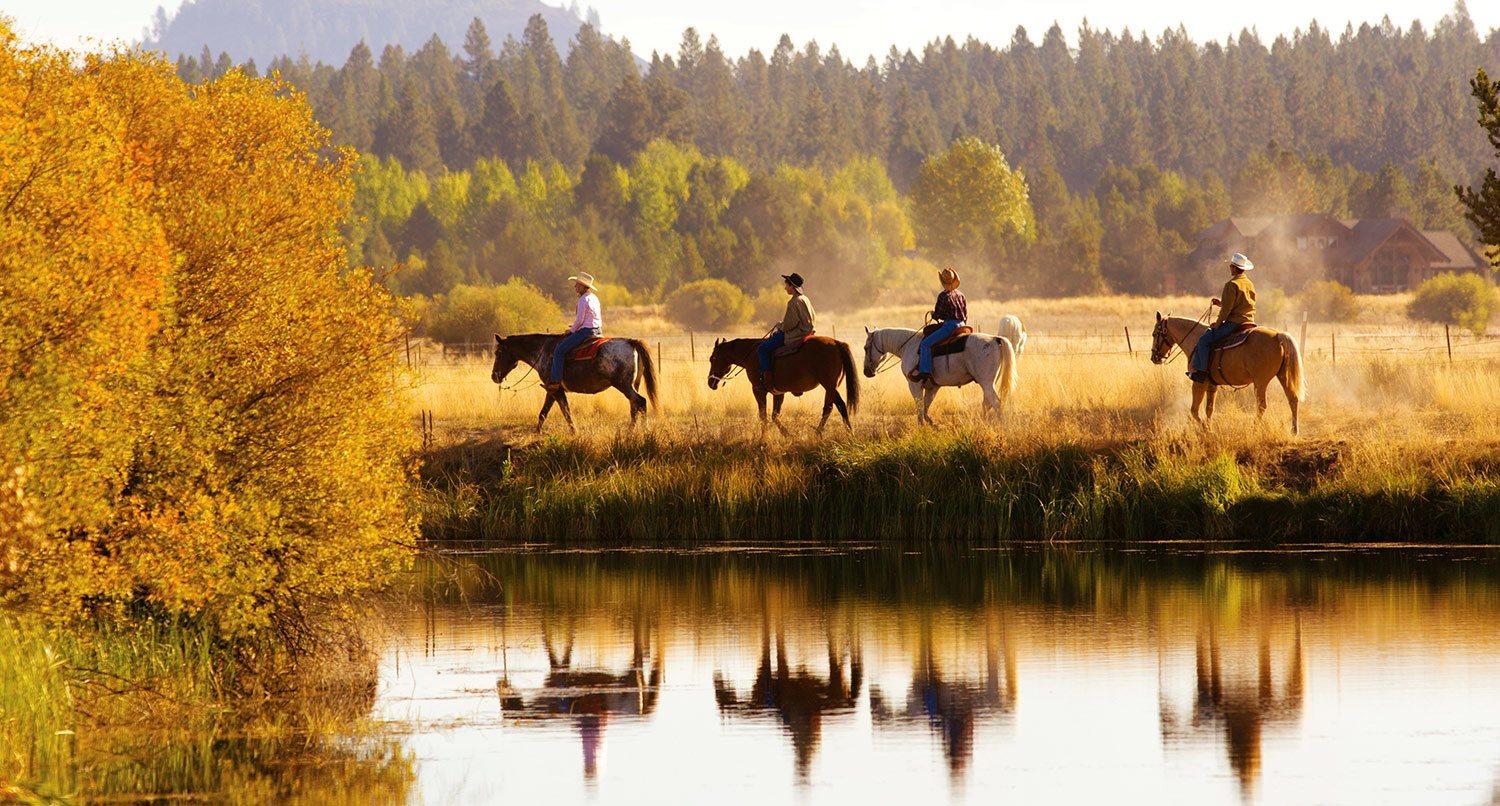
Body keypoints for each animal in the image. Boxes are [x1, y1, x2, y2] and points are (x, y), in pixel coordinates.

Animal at [492, 331, 657, 432]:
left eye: (498, 352)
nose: (494, 376)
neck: (543, 350)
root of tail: (631, 342)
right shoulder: (552, 390)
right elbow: (543, 413)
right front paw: (537, 432)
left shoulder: (556, 390)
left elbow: (565, 411)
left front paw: (574, 432)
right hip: (633, 385)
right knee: (634, 406)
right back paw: (631, 431)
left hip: (623, 385)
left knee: (641, 402)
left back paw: (644, 430)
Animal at [708, 333, 864, 432]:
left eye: (713, 358)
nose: (710, 382)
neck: (752, 354)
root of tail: (837, 343)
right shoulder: (779, 393)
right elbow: (774, 415)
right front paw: (787, 435)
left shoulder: (758, 390)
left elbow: (763, 416)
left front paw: (764, 439)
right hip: (830, 388)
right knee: (833, 407)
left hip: (829, 386)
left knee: (837, 407)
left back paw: (837, 432)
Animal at [858, 327, 1020, 426]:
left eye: (866, 348)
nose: (866, 372)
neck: (909, 346)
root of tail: (995, 339)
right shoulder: (933, 387)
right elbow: (926, 406)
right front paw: (932, 424)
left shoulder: (914, 384)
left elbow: (919, 407)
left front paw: (921, 427)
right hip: (988, 383)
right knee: (987, 403)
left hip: (986, 382)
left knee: (996, 403)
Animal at [1146, 310, 1302, 432]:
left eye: (1154, 334)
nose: (1154, 358)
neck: (1195, 341)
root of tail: (1278, 335)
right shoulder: (1211, 384)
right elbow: (1209, 409)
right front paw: (1209, 428)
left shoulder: (1198, 382)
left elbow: (1194, 410)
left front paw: (1205, 429)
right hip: (1283, 376)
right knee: (1293, 399)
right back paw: (1294, 430)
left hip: (1260, 382)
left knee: (1262, 405)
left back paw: (1254, 428)